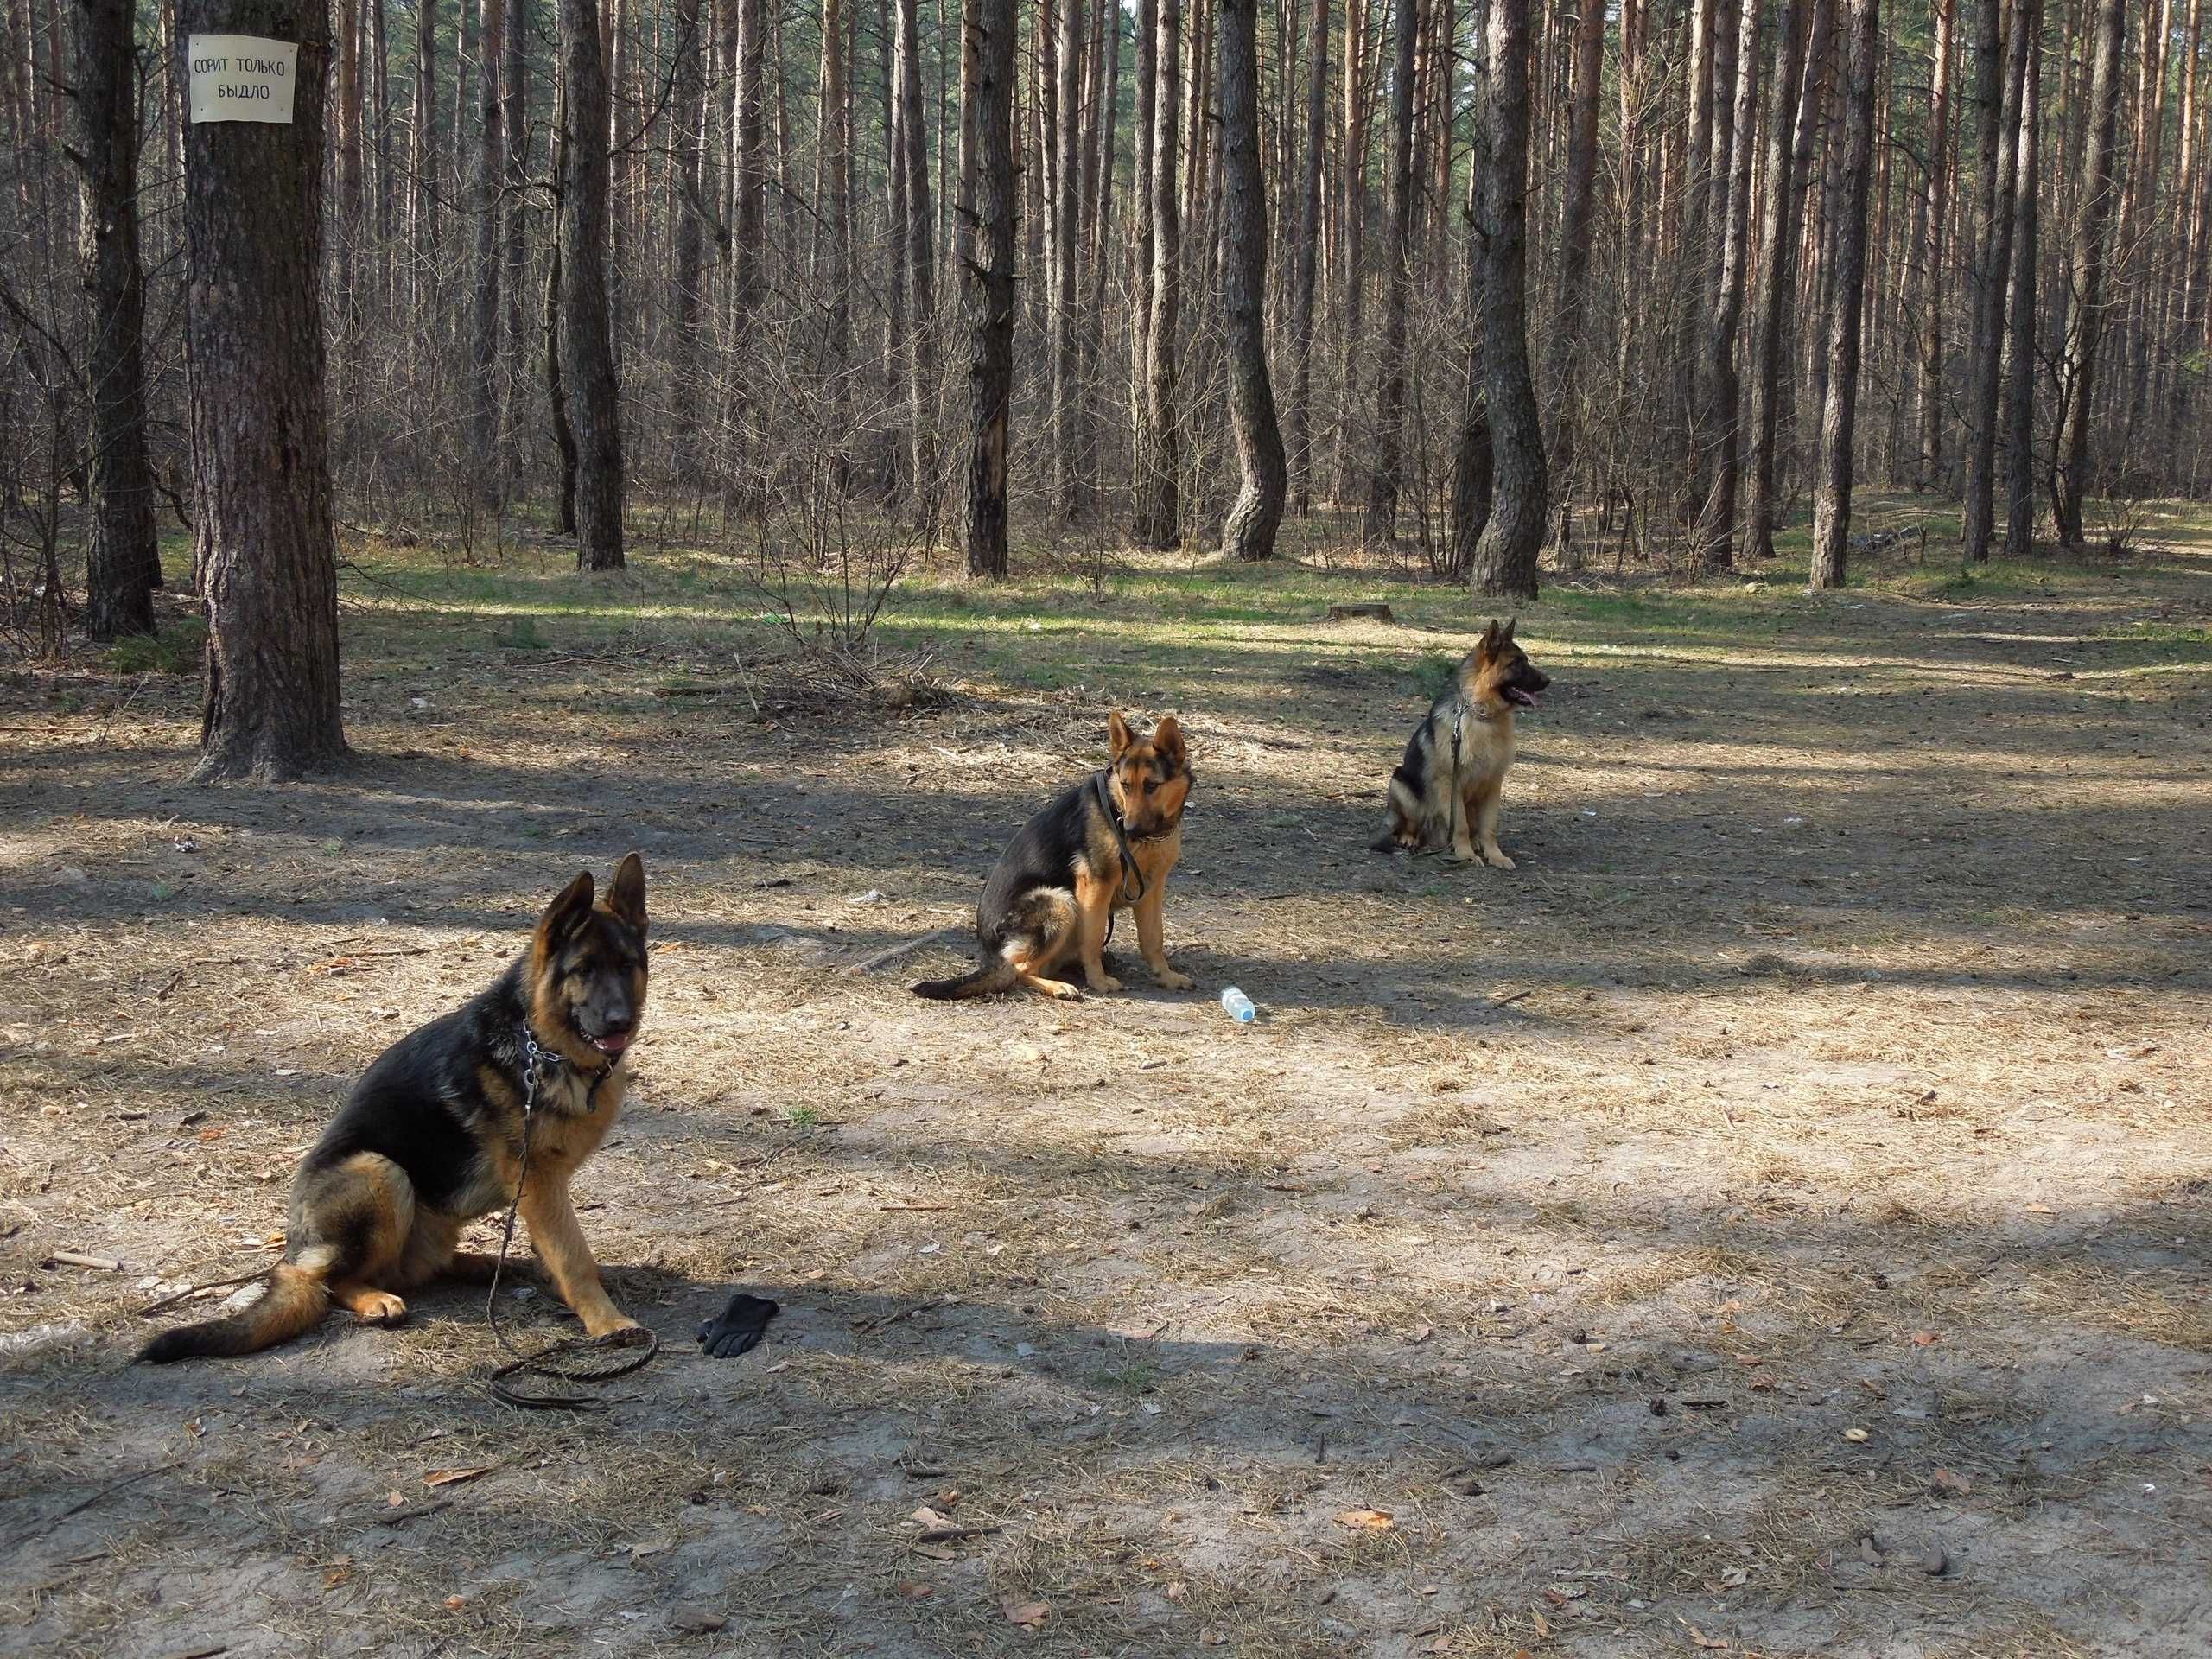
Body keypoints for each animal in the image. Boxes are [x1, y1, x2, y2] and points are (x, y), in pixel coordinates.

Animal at [139, 858, 645, 1362]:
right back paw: (376, 1298)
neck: (539, 1042)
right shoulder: (538, 1180)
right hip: (379, 1172)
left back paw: (479, 1264)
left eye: (626, 966)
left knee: (409, 1267)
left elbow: (558, 1249)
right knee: (331, 1281)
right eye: (583, 969)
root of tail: (294, 1253)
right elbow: (572, 1256)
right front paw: (607, 1321)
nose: (621, 1022)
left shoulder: (540, 1191)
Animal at [911, 712, 1203, 1000]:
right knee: (1018, 970)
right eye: (1126, 786)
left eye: (1152, 786)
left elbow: (1153, 939)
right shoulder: (1096, 886)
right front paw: (1098, 980)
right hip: (1060, 903)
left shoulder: (1151, 889)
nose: (1129, 829)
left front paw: (1165, 976)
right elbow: (1093, 938)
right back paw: (1059, 986)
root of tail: (991, 954)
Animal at [1362, 619, 1557, 871]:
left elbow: (1489, 827)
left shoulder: (1493, 785)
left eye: (1526, 660)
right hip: (1403, 786)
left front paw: (1495, 856)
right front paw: (1465, 855)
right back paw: (1411, 838)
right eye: (1516, 663)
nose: (1548, 681)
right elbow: (1461, 825)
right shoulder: (1452, 784)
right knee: (1409, 825)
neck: (1482, 716)